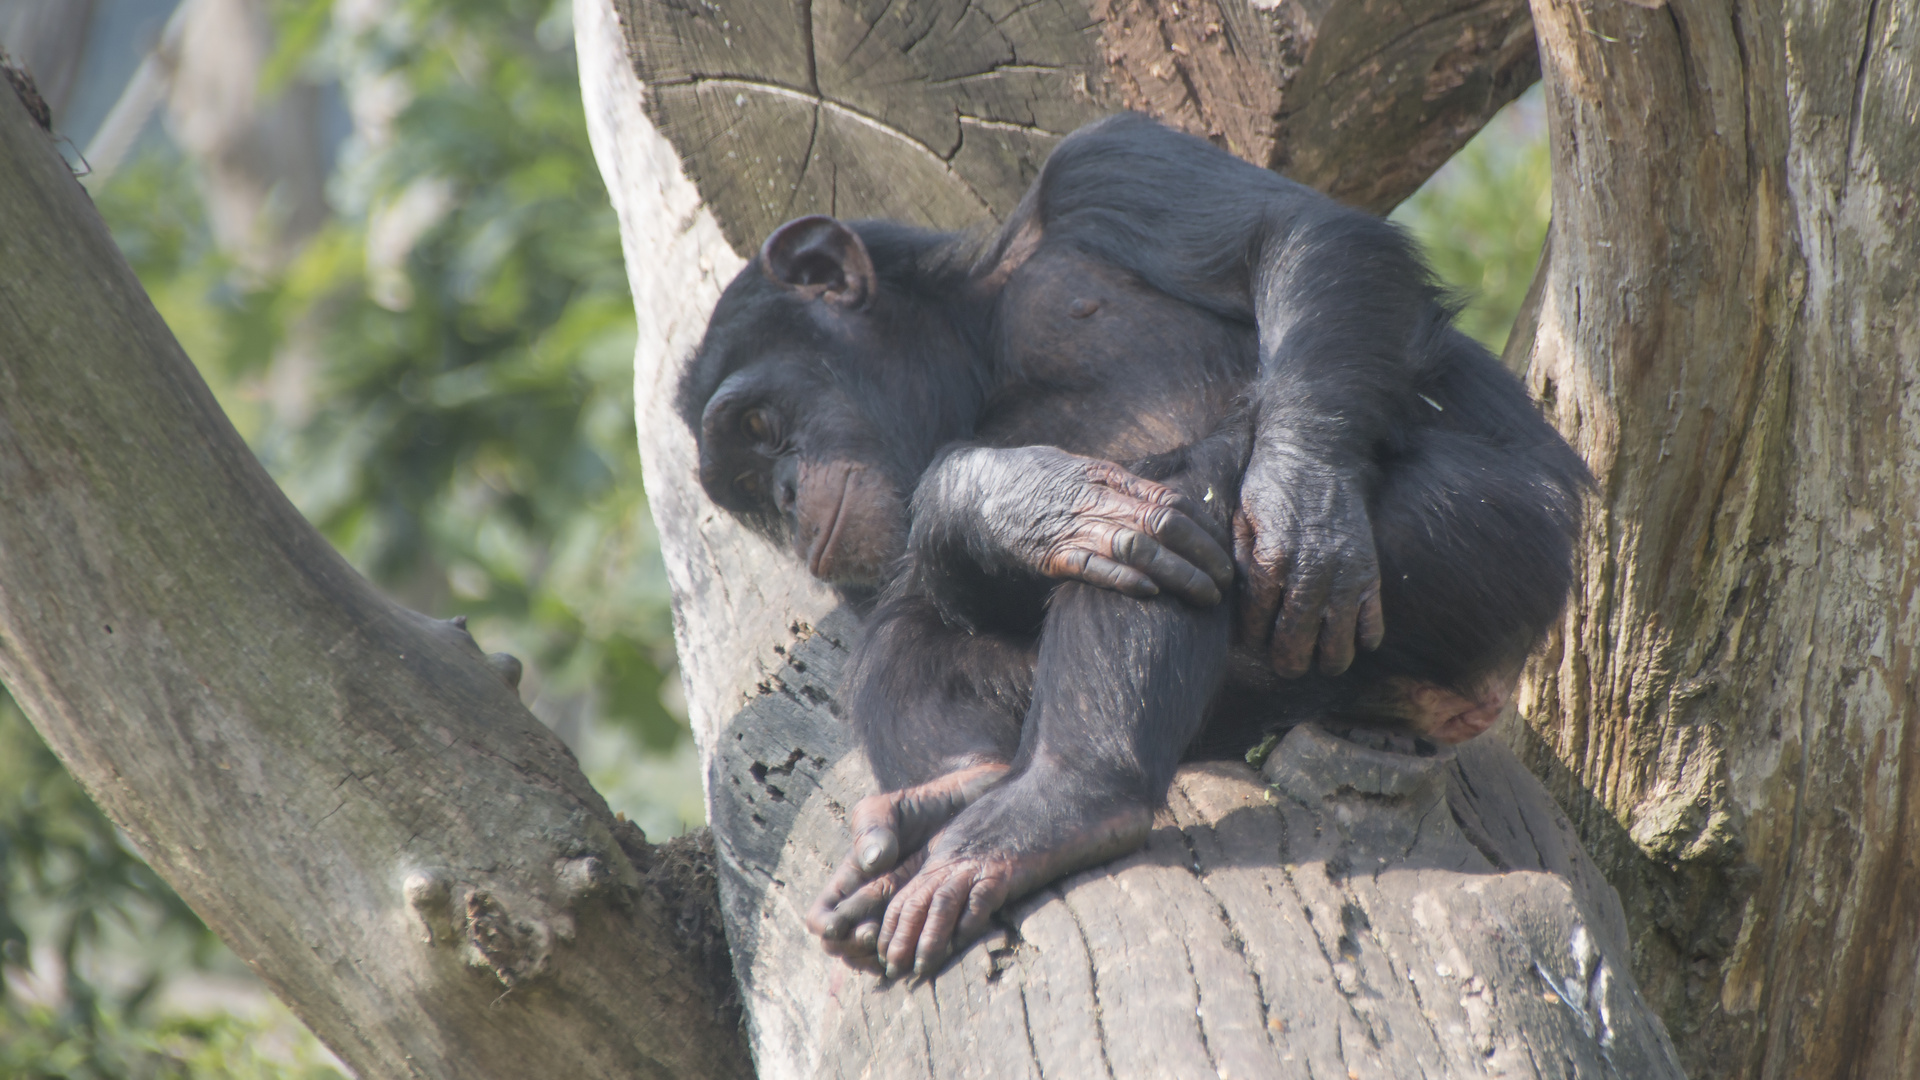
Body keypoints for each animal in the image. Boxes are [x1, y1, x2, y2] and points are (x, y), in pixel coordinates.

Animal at [679, 111, 1589, 976]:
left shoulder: (1105, 165)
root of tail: (1478, 694)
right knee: (919, 634)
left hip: (1500, 540)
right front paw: (1003, 499)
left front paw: (1302, 498)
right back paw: (954, 797)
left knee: (1197, 495)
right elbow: (911, 587)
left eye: (757, 424)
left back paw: (1063, 804)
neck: (978, 355)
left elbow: (1300, 235)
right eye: (745, 489)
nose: (784, 496)